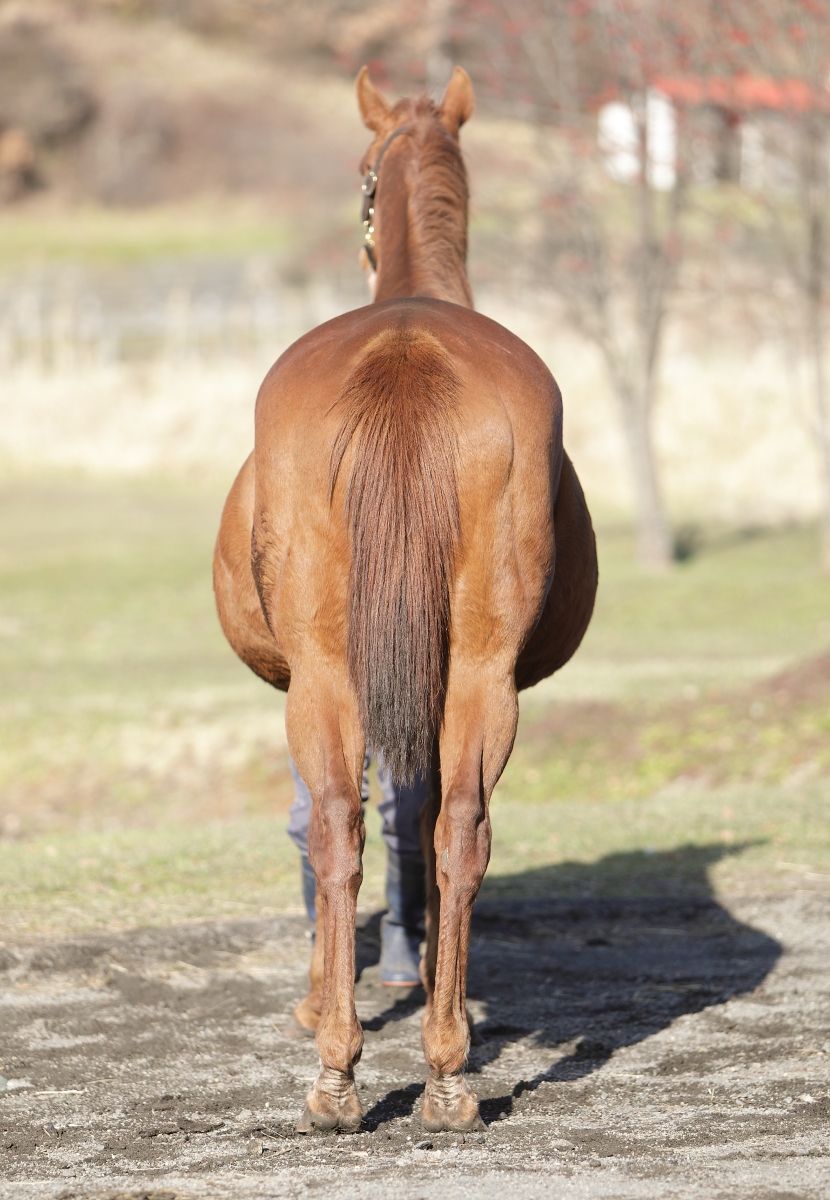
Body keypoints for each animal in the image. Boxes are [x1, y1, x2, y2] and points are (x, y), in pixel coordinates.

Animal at [213, 68, 597, 1132]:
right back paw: (447, 1071)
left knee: (336, 825)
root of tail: (407, 345)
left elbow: (326, 828)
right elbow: (419, 825)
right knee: (453, 829)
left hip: (326, 678)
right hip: (474, 673)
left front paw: (330, 997)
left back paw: (340, 1069)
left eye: (361, 176)